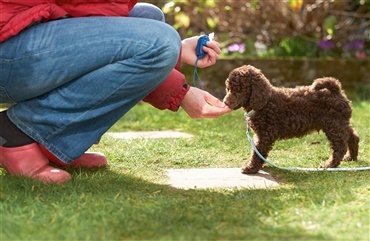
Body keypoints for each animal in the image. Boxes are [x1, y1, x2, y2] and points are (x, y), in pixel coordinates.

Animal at [223, 64, 358, 173]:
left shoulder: (265, 134)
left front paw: (251, 168)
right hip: (340, 123)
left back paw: (329, 165)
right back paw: (351, 157)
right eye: (228, 89)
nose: (225, 102)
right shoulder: (260, 134)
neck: (265, 102)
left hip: (333, 125)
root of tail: (336, 91)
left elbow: (258, 152)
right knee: (353, 136)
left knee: (340, 146)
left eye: (238, 90)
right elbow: (256, 150)